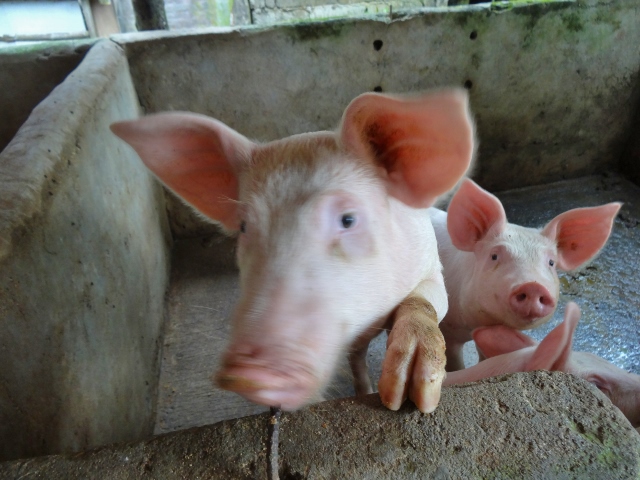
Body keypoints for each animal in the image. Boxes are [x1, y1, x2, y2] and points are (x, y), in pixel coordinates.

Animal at [110, 89, 476, 413]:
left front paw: (412, 396)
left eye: (348, 219)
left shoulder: (429, 264)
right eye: (244, 226)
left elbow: (426, 302)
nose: (247, 372)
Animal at [429, 178, 620, 371]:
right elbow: (455, 364)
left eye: (551, 262)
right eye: (494, 256)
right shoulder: (449, 331)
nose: (533, 286)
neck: (478, 324)